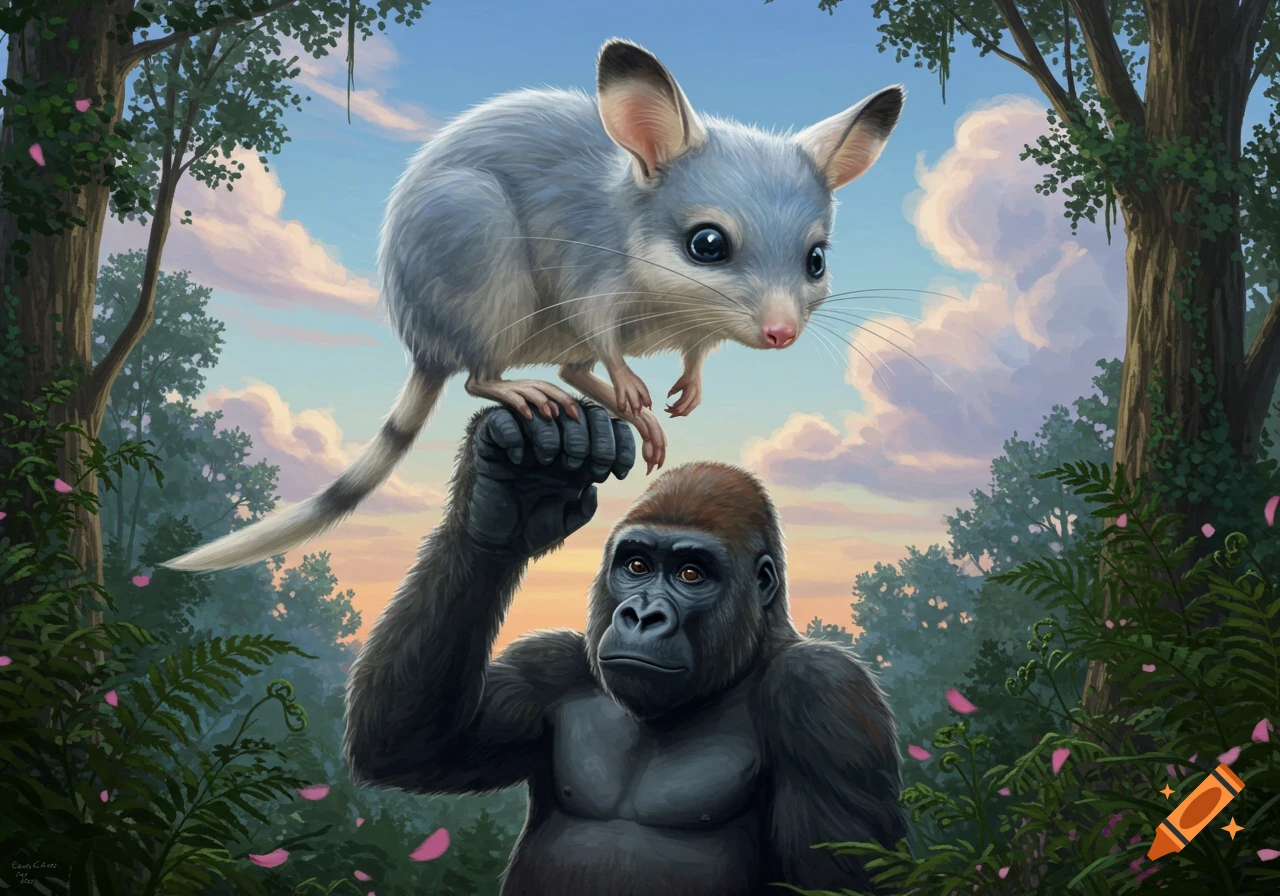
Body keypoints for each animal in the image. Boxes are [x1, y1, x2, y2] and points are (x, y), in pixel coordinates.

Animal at [343, 401, 908, 896]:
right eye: (636, 565)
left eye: (690, 574)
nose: (641, 616)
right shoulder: (551, 666)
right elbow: (407, 744)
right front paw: (511, 491)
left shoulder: (824, 690)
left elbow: (835, 883)